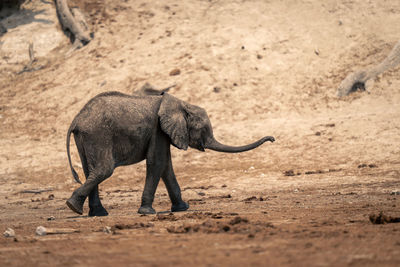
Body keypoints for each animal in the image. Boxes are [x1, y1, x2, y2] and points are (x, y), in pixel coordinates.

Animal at [66, 91, 276, 217]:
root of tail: (76, 119)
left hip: (87, 137)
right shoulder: (158, 129)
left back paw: (95, 213)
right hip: (98, 135)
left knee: (90, 170)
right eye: (203, 129)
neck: (182, 104)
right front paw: (147, 212)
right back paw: (73, 207)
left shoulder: (162, 132)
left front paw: (182, 209)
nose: (272, 139)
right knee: (104, 169)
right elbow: (157, 162)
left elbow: (166, 166)